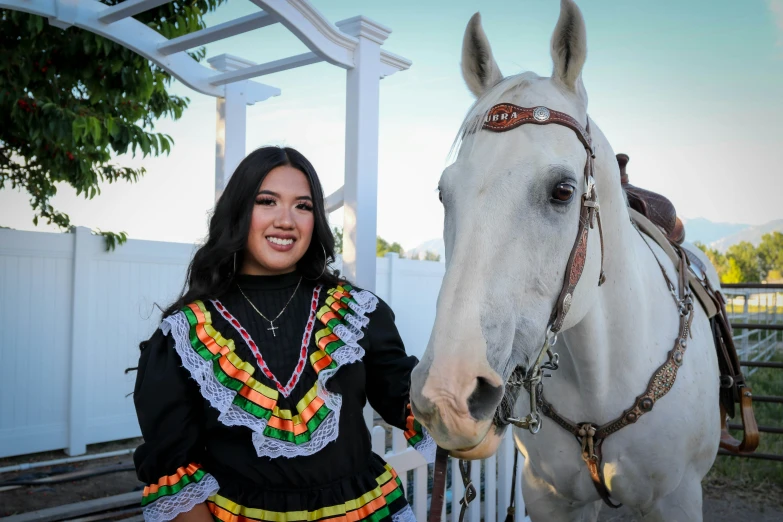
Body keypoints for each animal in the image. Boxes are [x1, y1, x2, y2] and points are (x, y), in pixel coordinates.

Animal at [410, 2, 724, 516]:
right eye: (443, 193)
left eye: (563, 190)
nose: (447, 395)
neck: (603, 376)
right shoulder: (549, 497)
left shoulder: (676, 500)